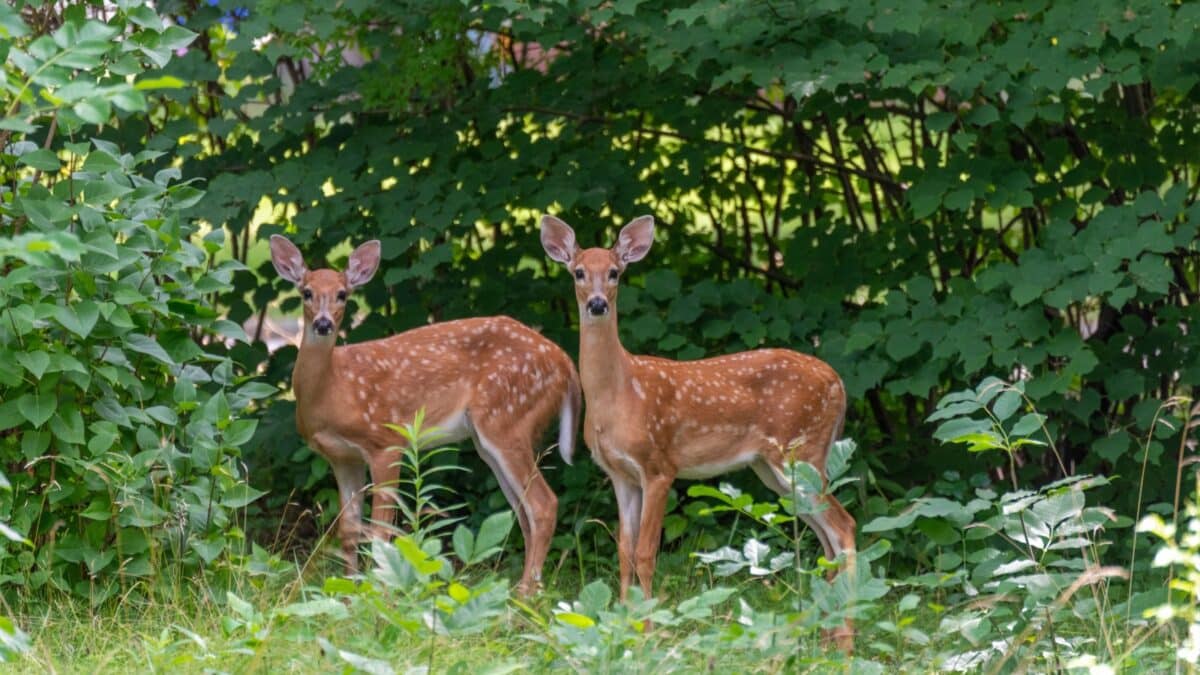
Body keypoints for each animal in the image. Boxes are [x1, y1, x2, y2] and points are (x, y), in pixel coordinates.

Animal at [270, 234, 578, 590]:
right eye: (306, 292)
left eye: (342, 294)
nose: (323, 324)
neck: (334, 389)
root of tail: (565, 362)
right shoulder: (342, 458)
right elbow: (349, 531)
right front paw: (348, 591)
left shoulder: (386, 442)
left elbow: (381, 532)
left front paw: (379, 591)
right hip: (489, 439)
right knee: (524, 512)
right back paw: (522, 590)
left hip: (507, 419)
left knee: (543, 504)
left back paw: (526, 592)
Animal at [540, 218, 859, 643]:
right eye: (577, 272)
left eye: (614, 272)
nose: (597, 304)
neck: (619, 394)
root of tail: (839, 383)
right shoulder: (620, 475)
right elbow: (623, 550)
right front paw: (623, 627)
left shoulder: (659, 465)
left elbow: (646, 552)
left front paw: (647, 632)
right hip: (776, 470)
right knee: (827, 538)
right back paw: (824, 636)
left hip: (801, 450)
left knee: (844, 526)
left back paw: (846, 640)